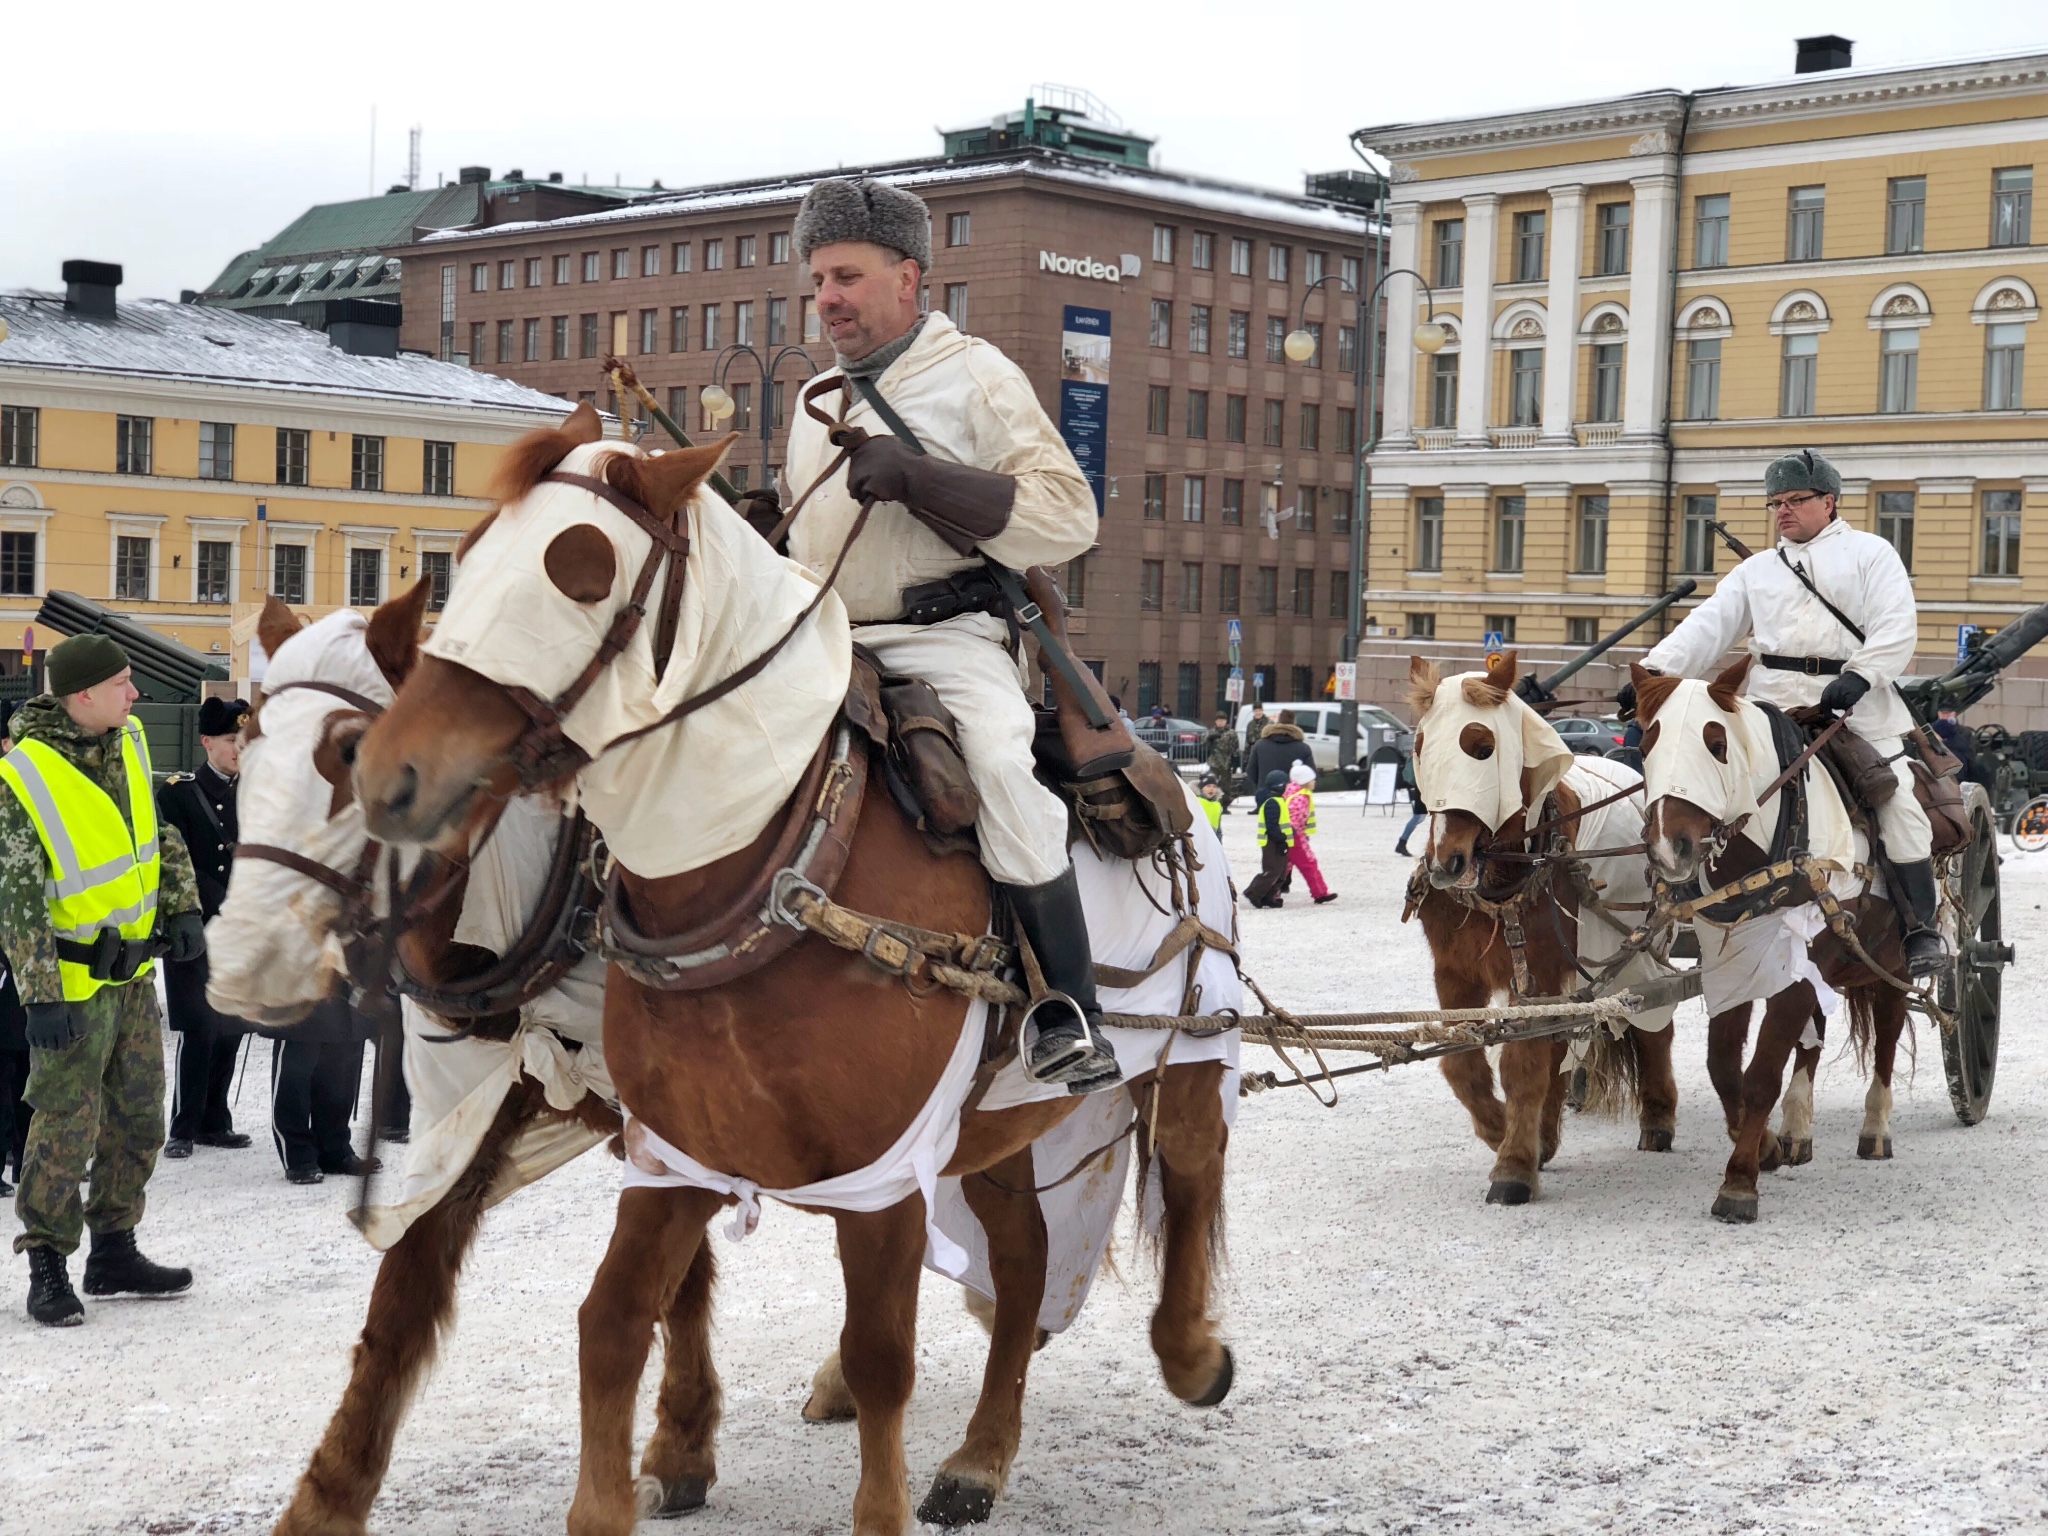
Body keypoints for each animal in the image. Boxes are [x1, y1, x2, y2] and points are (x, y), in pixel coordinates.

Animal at [352, 411, 1228, 1536]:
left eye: (581, 573)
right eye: (466, 553)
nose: (390, 775)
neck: (773, 871)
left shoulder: (883, 1176)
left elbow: (883, 1353)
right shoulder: (675, 1156)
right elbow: (612, 1322)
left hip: (1191, 1052)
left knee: (1191, 1178)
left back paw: (1189, 1352)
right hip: (990, 1132)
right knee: (1026, 1257)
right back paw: (979, 1457)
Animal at [1409, 655, 1679, 1212]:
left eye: (1482, 747)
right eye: (1421, 745)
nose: (1446, 863)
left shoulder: (1539, 971)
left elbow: (1524, 1064)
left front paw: (1512, 1163)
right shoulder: (1455, 973)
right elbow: (1464, 1063)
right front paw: (1504, 1132)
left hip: (1641, 949)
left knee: (1655, 1026)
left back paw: (1658, 1116)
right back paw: (1548, 1133)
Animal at [1622, 663, 1908, 1228]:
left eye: (1717, 745)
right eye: (1646, 742)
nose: (1669, 847)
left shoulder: (1797, 964)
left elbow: (1760, 1075)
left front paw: (1739, 1182)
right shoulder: (1734, 961)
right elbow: (1724, 1066)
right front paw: (1768, 1146)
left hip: (1894, 959)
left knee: (1888, 1030)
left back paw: (1875, 1128)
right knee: (1813, 1039)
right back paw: (1797, 1129)